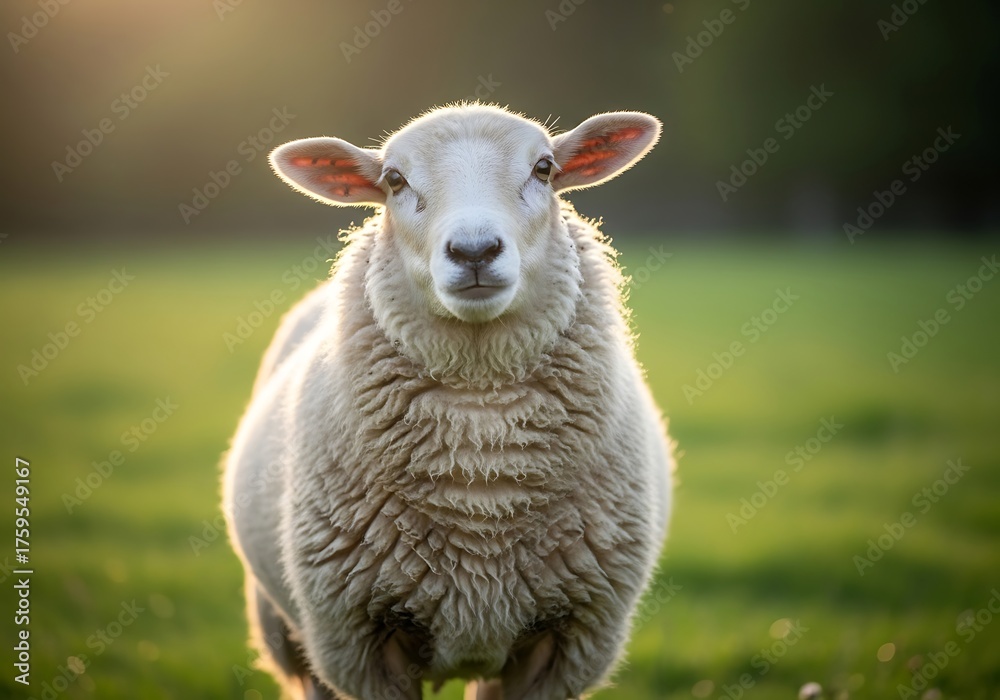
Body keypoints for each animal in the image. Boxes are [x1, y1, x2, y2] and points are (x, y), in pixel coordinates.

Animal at [222, 103, 674, 700]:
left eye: (545, 168)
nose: (474, 250)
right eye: (394, 179)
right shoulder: (359, 644)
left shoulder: (566, 644)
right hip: (288, 629)